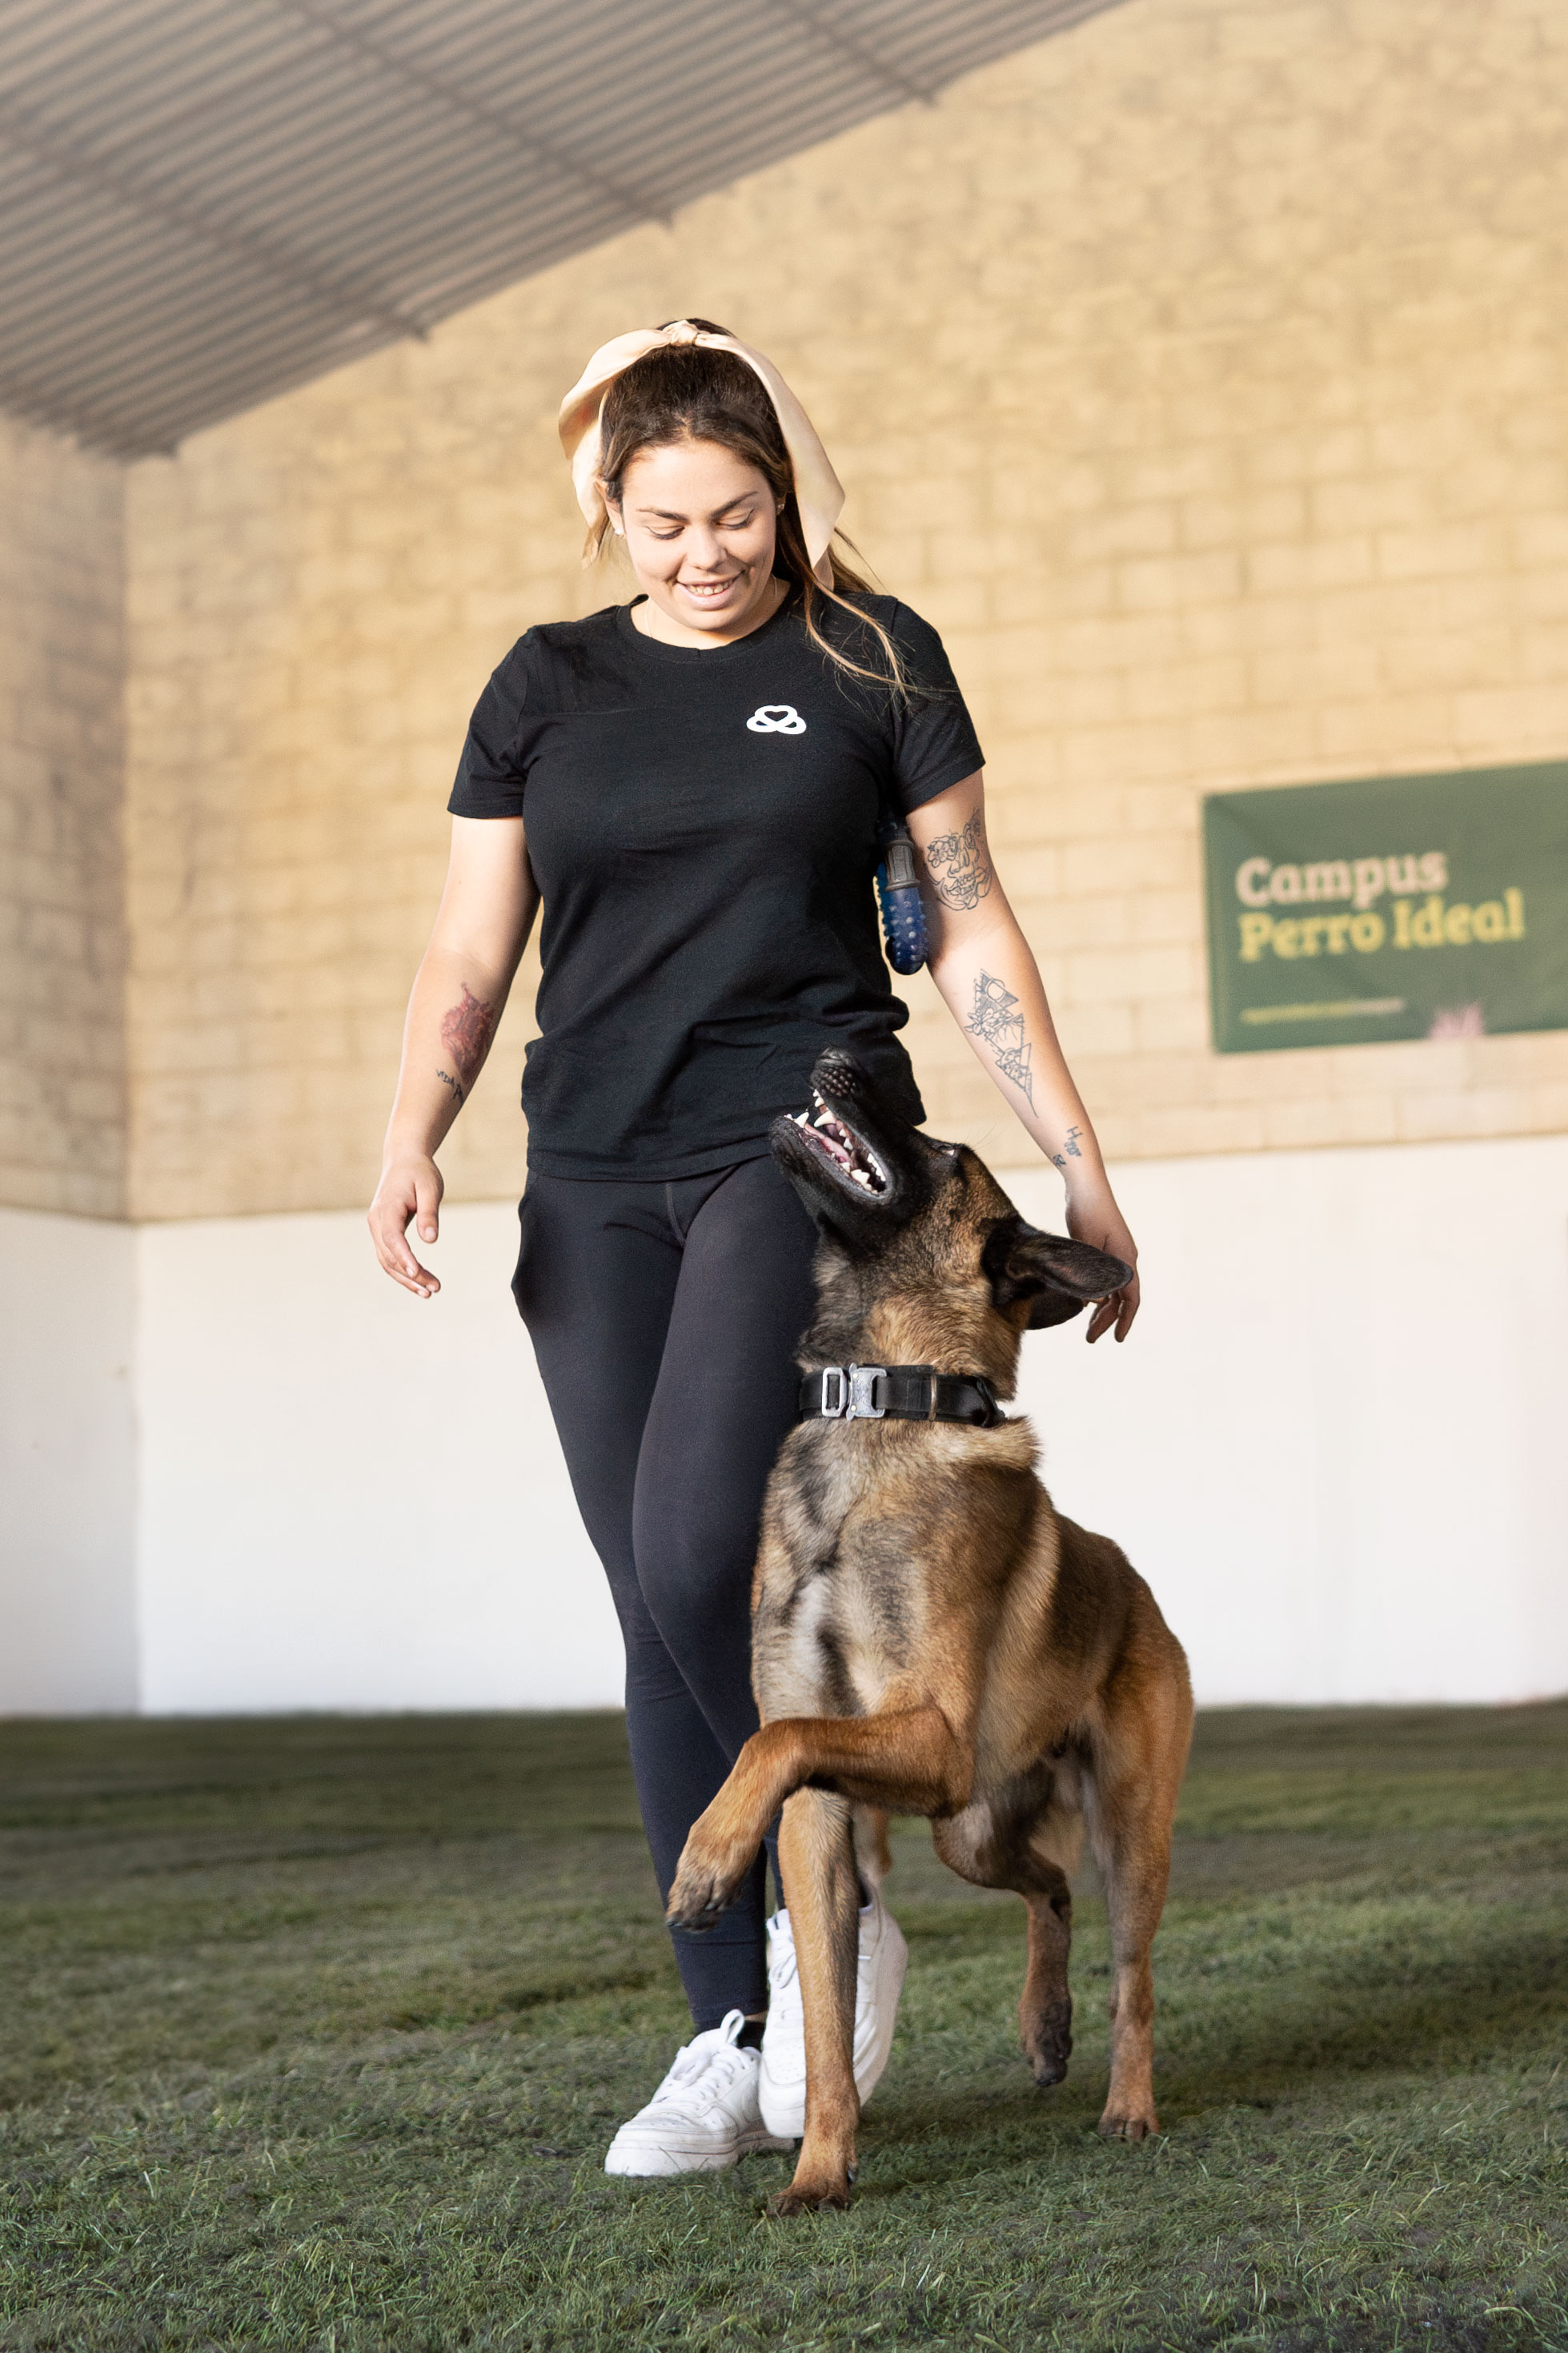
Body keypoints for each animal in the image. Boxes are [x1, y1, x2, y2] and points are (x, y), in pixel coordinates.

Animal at [667, 1046, 1194, 2214]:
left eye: (945, 1151)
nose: (833, 1054)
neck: (882, 1404)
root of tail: (1138, 1589)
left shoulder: (931, 1738)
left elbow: (769, 1740)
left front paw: (706, 1854)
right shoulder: (823, 1814)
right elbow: (823, 2023)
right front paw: (822, 2167)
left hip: (1126, 1831)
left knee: (1134, 1975)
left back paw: (1128, 2103)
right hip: (969, 1828)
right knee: (1048, 1889)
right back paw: (1044, 2026)